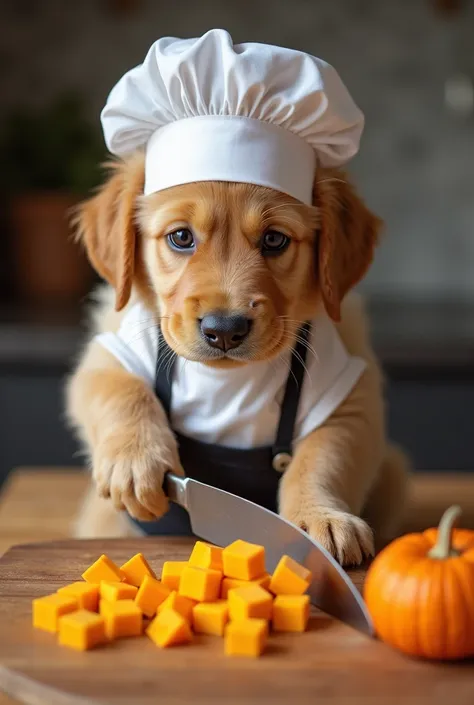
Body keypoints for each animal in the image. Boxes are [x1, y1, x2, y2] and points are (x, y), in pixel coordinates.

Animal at [65, 153, 410, 560]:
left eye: (274, 239)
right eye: (181, 237)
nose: (225, 329)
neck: (226, 379)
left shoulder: (347, 390)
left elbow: (323, 458)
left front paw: (319, 516)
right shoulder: (115, 345)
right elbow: (117, 389)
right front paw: (135, 461)